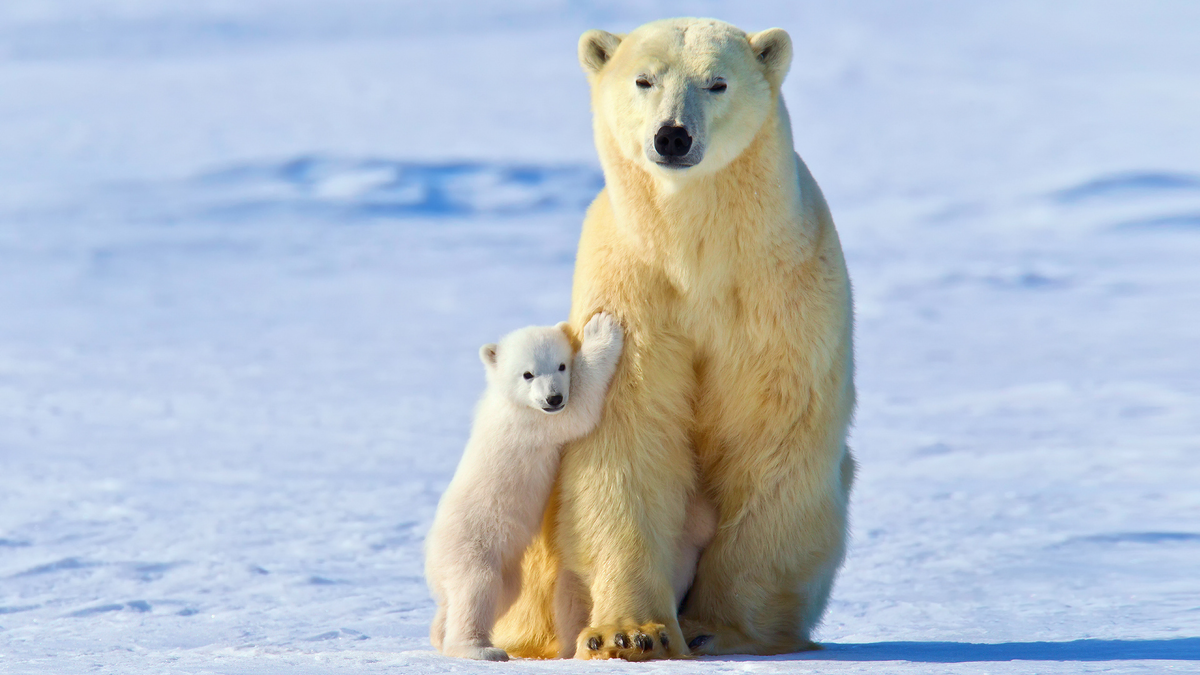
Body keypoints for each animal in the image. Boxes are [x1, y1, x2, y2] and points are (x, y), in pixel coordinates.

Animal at [425, 313, 624, 661]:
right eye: (528, 374)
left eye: (560, 365)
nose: (553, 398)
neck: (509, 400)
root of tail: (430, 558)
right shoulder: (532, 423)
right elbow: (578, 410)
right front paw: (600, 330)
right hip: (471, 545)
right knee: (476, 588)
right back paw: (480, 649)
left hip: (504, 567)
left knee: (495, 595)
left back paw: (439, 633)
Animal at [491, 17, 857, 660]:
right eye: (644, 79)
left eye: (717, 82)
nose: (673, 137)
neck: (697, 252)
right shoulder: (633, 290)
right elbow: (628, 437)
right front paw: (633, 632)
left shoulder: (781, 294)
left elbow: (773, 435)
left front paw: (720, 627)